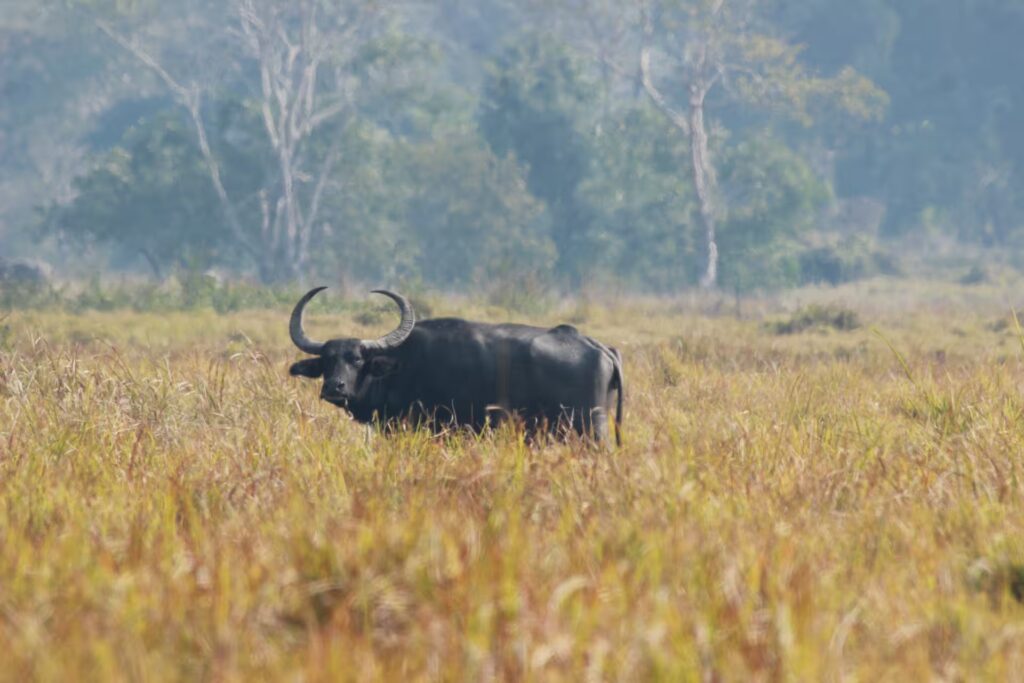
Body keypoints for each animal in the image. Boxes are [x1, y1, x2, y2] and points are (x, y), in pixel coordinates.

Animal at [288, 288, 624, 444]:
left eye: (357, 359)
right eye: (327, 361)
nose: (334, 387)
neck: (401, 367)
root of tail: (599, 346)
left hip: (589, 431)